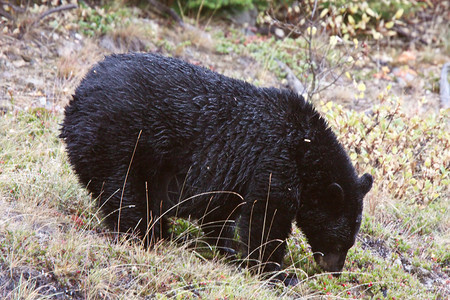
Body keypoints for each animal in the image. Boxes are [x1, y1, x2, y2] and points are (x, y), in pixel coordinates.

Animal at [62, 52, 372, 282]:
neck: (306, 148)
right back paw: (145, 234)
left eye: (349, 242)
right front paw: (276, 272)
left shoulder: (235, 170)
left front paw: (227, 248)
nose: (334, 270)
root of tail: (79, 95)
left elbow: (223, 209)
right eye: (341, 240)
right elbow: (267, 217)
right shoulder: (276, 161)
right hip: (123, 138)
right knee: (125, 190)